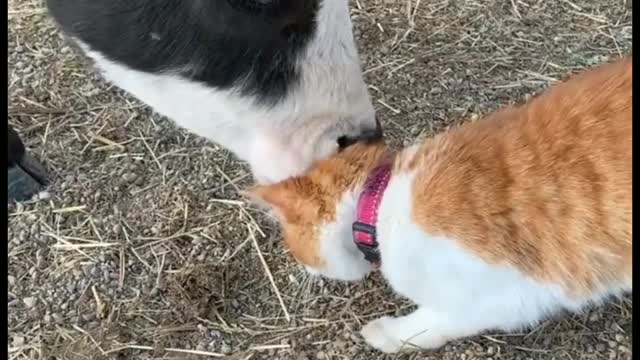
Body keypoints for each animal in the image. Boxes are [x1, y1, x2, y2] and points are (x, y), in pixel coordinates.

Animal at [248, 57, 632, 352]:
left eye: (295, 248)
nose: (303, 269)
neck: (377, 204)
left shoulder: (502, 297)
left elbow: (430, 322)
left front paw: (385, 333)